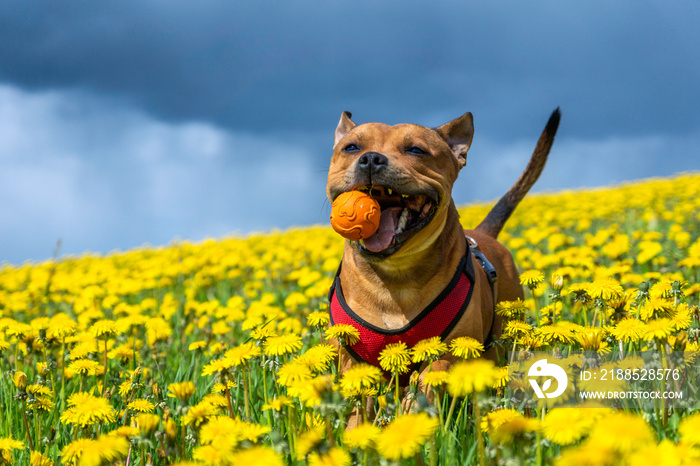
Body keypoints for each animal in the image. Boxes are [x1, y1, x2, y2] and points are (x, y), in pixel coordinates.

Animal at [326, 108, 560, 404]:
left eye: (416, 149)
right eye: (351, 147)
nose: (371, 159)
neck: (395, 278)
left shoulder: (451, 349)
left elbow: (430, 380)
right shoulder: (351, 360)